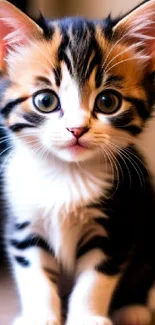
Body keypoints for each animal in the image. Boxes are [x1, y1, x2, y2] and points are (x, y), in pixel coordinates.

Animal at [0, 0, 154, 324]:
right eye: (46, 101)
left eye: (108, 102)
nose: (77, 129)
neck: (66, 172)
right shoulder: (23, 224)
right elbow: (34, 276)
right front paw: (39, 316)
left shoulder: (118, 222)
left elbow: (94, 280)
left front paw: (86, 316)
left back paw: (133, 309)